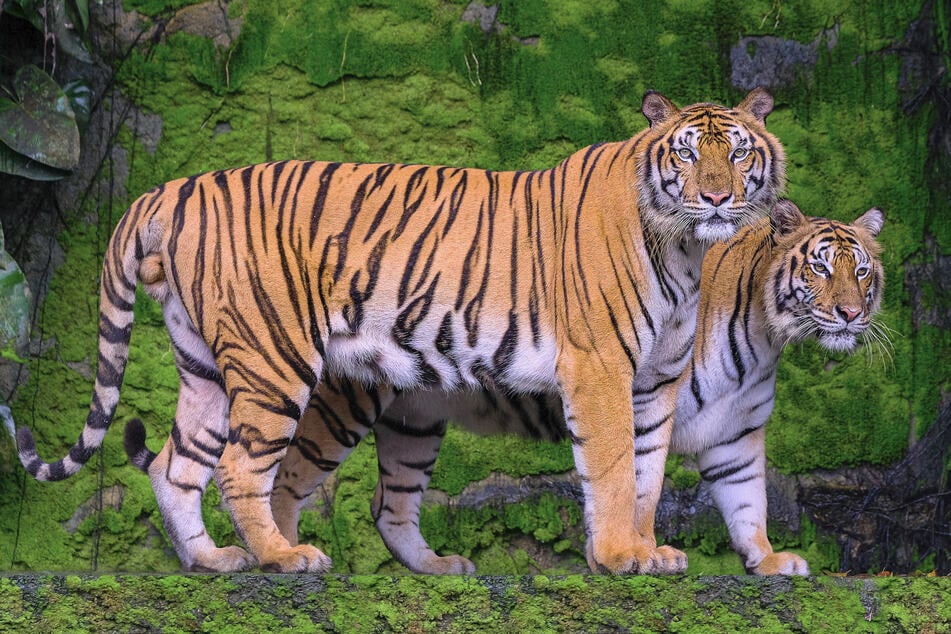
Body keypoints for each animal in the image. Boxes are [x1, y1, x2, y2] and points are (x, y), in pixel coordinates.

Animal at [18, 88, 784, 574]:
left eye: (739, 154)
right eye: (685, 154)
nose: (716, 197)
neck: (686, 250)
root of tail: (173, 187)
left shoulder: (655, 380)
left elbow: (649, 471)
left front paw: (648, 551)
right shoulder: (600, 367)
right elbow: (617, 468)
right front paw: (622, 556)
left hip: (205, 360)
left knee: (178, 466)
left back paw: (211, 561)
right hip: (273, 357)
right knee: (240, 466)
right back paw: (282, 558)